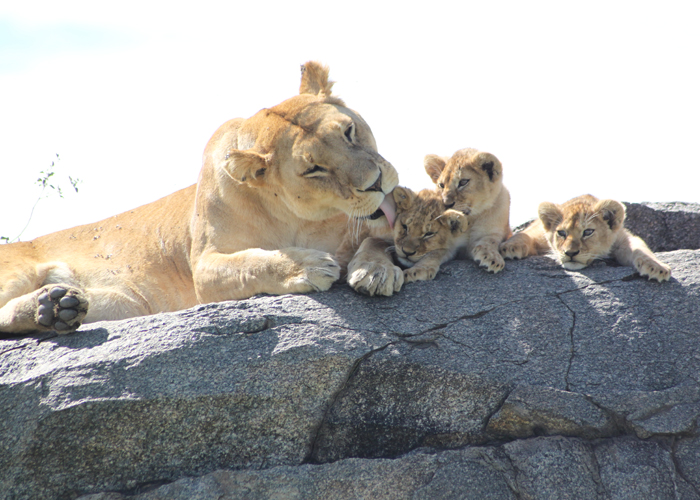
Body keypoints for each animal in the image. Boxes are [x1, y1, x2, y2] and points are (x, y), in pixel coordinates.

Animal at [0, 61, 400, 336]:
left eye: (349, 131)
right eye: (313, 169)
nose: (377, 183)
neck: (298, 219)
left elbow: (381, 241)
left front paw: (375, 271)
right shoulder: (204, 268)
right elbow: (253, 262)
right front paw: (308, 266)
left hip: (120, 304)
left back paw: (56, 307)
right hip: (18, 272)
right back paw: (51, 307)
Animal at [499, 194, 671, 282]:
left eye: (588, 232)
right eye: (562, 233)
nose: (570, 253)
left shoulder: (622, 238)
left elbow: (640, 249)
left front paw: (657, 267)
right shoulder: (538, 231)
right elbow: (524, 234)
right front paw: (510, 247)